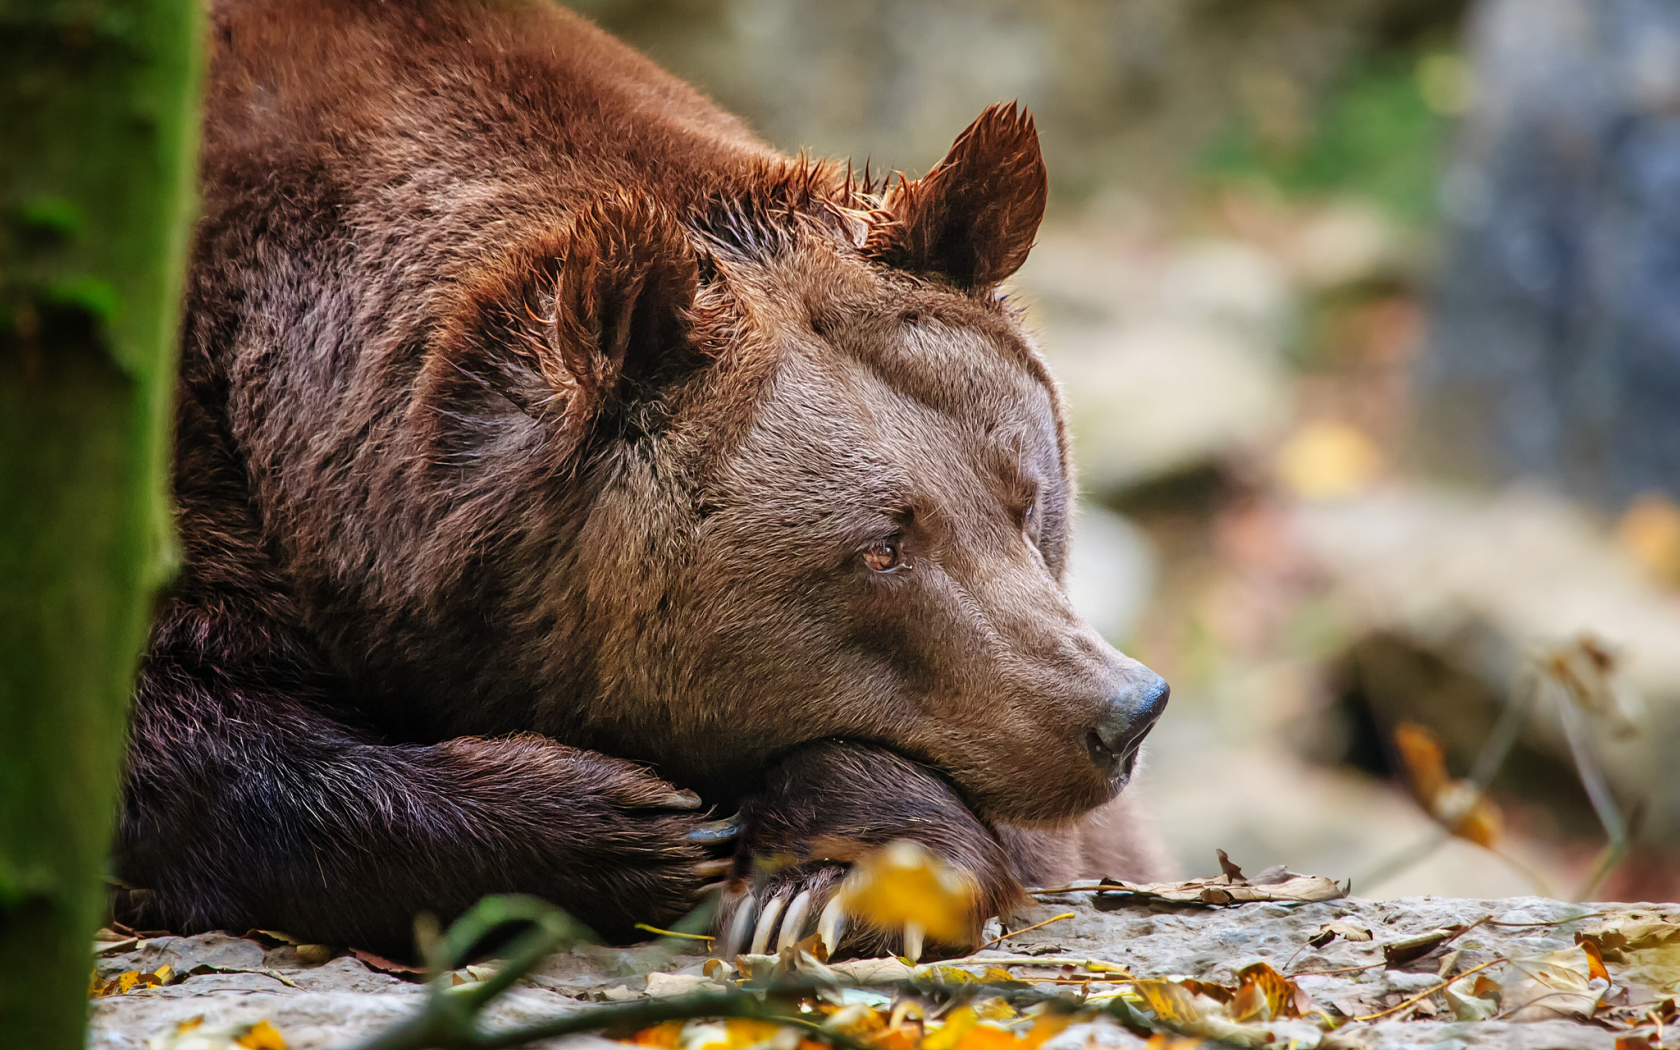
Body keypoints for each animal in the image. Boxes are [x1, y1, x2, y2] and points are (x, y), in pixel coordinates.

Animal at [115, 0, 1169, 960]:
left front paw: (821, 882)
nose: (1121, 713)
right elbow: (180, 736)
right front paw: (629, 825)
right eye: (880, 549)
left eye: (1027, 499)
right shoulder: (182, 455)